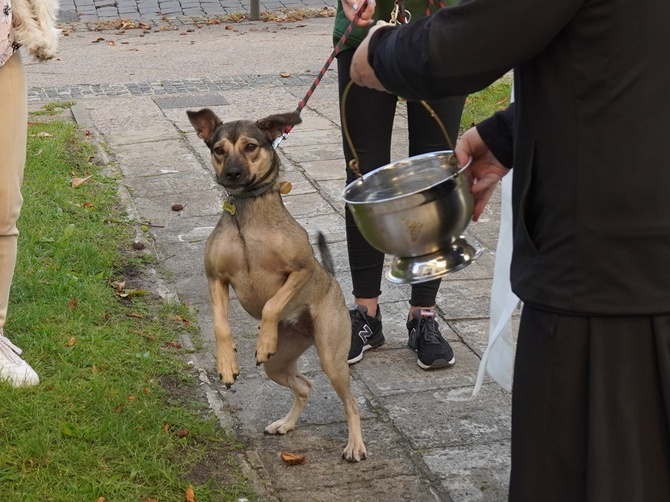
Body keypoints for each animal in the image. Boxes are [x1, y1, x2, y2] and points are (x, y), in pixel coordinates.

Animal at [188, 108, 368, 460]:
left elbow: (272, 305)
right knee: (305, 386)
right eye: (218, 150)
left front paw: (263, 340)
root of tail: (332, 280)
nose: (231, 174)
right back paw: (285, 424)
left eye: (250, 146)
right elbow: (220, 326)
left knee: (351, 402)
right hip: (279, 364)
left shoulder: (301, 270)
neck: (248, 217)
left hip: (332, 357)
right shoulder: (216, 278)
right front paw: (227, 363)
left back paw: (355, 445)